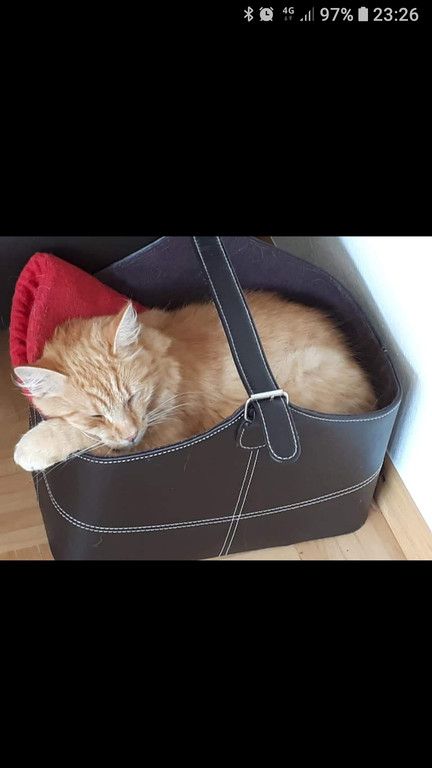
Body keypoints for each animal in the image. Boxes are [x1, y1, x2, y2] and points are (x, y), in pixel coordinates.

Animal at [13, 292, 376, 471]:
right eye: (96, 415)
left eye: (131, 398)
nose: (130, 432)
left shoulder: (167, 431)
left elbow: (83, 437)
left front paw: (35, 445)